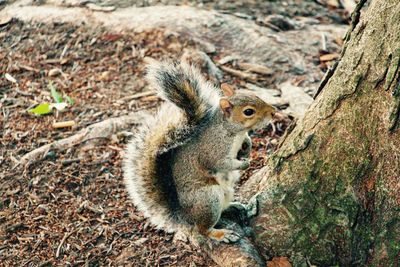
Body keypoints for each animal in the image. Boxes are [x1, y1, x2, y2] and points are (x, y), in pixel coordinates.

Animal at [123, 60, 276, 243]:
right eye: (248, 112)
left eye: (255, 95)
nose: (274, 111)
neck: (231, 131)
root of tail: (185, 216)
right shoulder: (213, 150)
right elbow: (220, 163)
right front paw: (244, 164)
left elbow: (246, 141)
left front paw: (247, 146)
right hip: (208, 199)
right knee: (203, 229)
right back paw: (221, 234)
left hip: (224, 194)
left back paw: (235, 206)